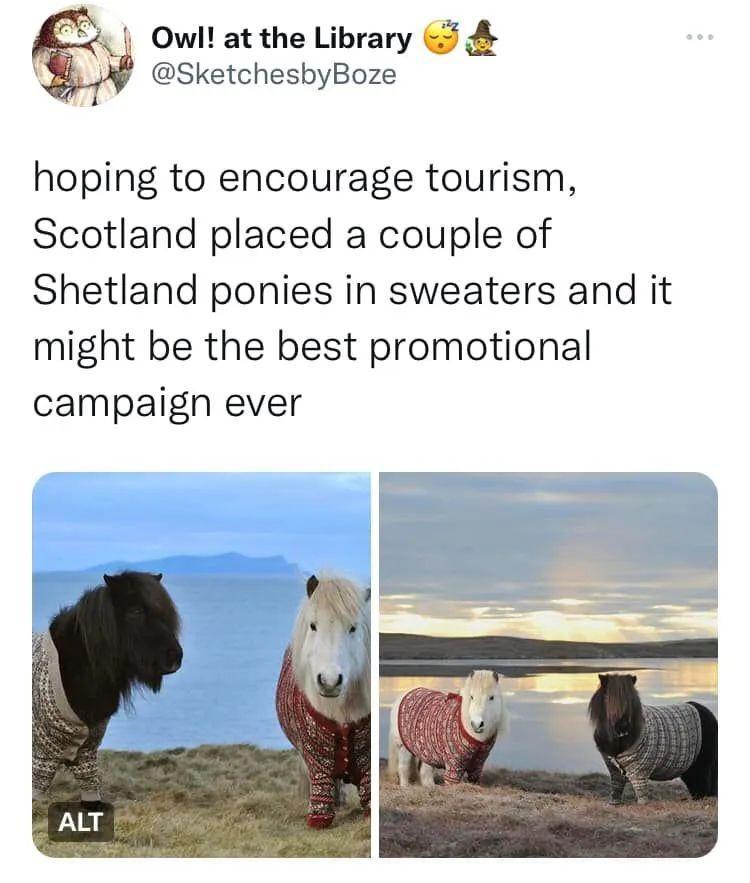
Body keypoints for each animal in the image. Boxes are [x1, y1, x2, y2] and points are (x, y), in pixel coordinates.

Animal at [276, 574, 371, 828]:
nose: (329, 681)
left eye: (353, 628)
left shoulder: (366, 760)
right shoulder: (317, 760)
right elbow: (321, 790)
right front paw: (319, 817)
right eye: (313, 625)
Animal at [588, 673, 717, 804]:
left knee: (703, 782)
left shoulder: (640, 773)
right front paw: (614, 803)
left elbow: (641, 792)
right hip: (690, 765)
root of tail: (707, 712)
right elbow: (616, 788)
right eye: (608, 698)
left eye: (631, 700)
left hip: (702, 762)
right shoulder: (614, 771)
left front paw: (642, 804)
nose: (623, 726)